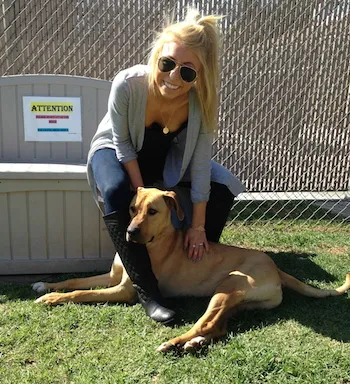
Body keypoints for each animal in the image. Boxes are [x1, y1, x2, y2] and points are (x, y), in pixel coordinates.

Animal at [33, 188, 350, 352]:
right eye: (133, 208)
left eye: (153, 211)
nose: (130, 232)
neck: (155, 240)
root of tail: (276, 267)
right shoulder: (112, 277)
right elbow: (75, 280)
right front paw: (46, 286)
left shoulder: (124, 290)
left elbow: (80, 293)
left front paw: (53, 298)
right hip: (239, 302)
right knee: (218, 326)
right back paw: (195, 343)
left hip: (228, 288)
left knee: (204, 323)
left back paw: (175, 342)